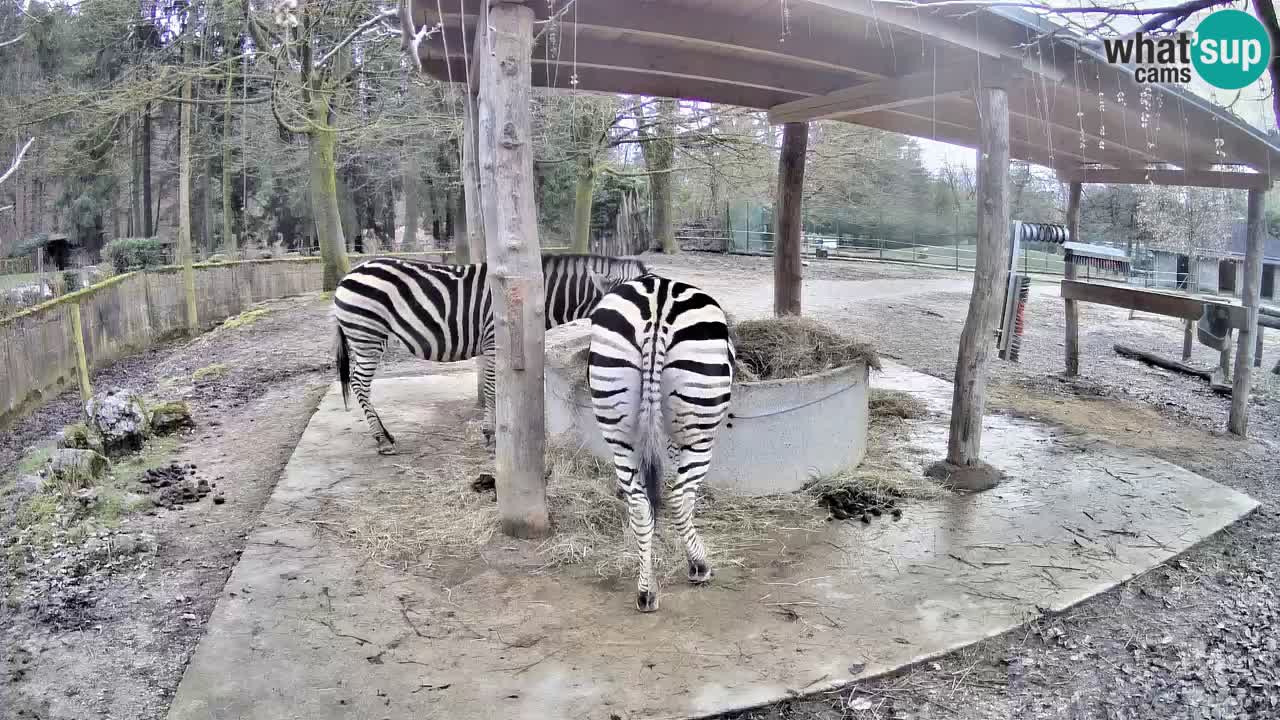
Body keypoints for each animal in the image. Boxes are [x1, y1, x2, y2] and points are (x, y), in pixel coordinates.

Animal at [335, 254, 650, 450]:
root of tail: (348, 275)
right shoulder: (491, 340)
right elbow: (490, 389)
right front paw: (491, 435)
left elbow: (496, 389)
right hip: (367, 335)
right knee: (359, 384)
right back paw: (382, 438)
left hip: (363, 337)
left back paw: (384, 434)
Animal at [586, 271, 737, 607]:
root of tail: (656, 310)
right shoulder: (676, 436)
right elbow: (684, 495)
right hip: (699, 431)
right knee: (680, 497)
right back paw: (699, 566)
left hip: (619, 429)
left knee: (639, 504)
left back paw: (646, 591)